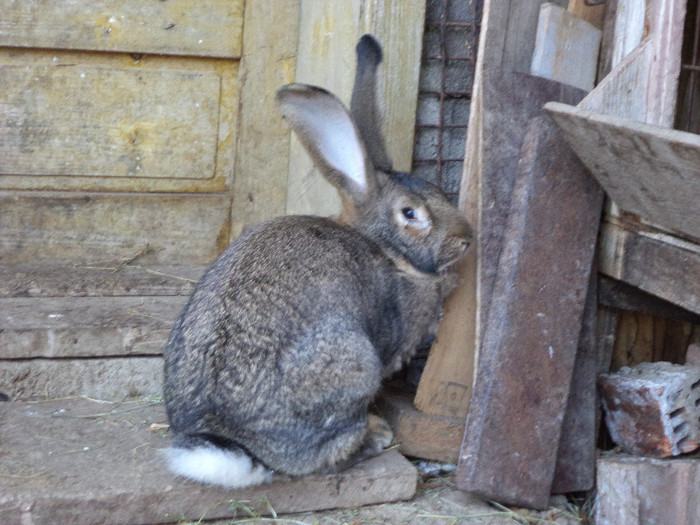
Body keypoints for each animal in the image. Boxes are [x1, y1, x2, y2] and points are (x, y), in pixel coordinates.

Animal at [161, 33, 474, 488]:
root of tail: (235, 444)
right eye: (410, 213)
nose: (466, 239)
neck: (386, 251)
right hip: (354, 365)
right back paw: (376, 435)